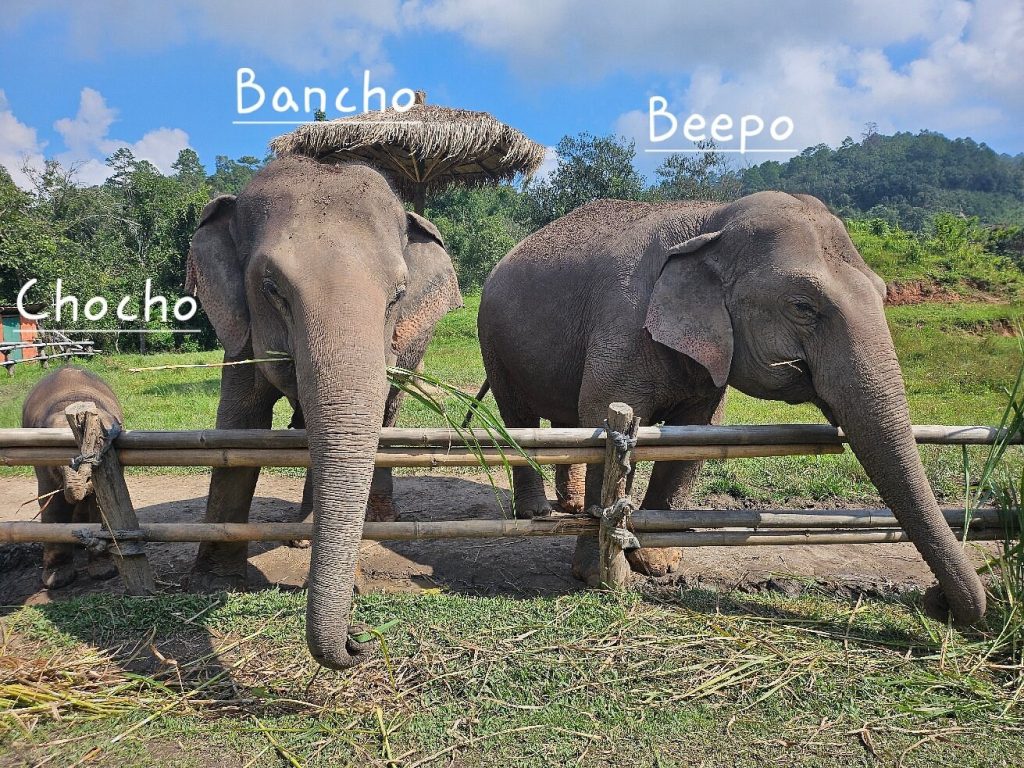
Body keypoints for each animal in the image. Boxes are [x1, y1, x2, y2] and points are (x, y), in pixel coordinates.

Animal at [21, 366, 123, 588]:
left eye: (102, 443)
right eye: (57, 453)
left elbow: (99, 504)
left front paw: (104, 572)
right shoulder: (42, 463)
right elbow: (53, 504)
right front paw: (56, 581)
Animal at [185, 154, 462, 668]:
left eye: (398, 295)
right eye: (271, 288)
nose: (360, 637)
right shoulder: (240, 332)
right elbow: (239, 426)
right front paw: (213, 582)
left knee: (387, 416)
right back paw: (301, 534)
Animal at [477, 191, 986, 626]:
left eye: (883, 294)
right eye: (802, 306)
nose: (938, 603)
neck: (711, 218)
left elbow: (696, 434)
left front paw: (659, 564)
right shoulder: (622, 324)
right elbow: (603, 413)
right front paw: (594, 575)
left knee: (566, 422)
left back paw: (565, 504)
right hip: (493, 339)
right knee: (518, 414)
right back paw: (536, 514)